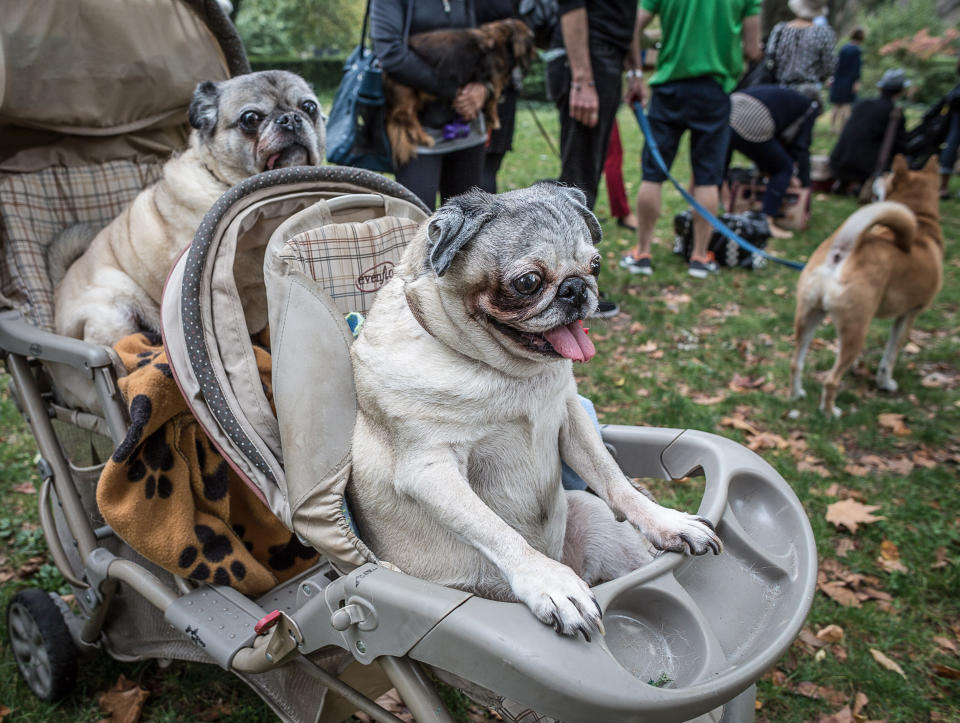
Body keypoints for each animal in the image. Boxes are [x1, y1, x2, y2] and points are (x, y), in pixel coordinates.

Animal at [384, 18, 536, 165]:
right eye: (530, 37)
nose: (536, 52)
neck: (503, 40)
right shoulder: (495, 79)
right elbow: (493, 101)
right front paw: (494, 119)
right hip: (408, 92)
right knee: (405, 115)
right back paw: (424, 137)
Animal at [788, 157, 944, 418]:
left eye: (887, 175)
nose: (879, 172)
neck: (922, 222)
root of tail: (844, 249)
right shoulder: (909, 314)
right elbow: (890, 356)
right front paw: (886, 383)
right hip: (857, 326)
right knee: (831, 380)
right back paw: (830, 412)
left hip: (810, 314)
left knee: (796, 362)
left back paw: (797, 394)